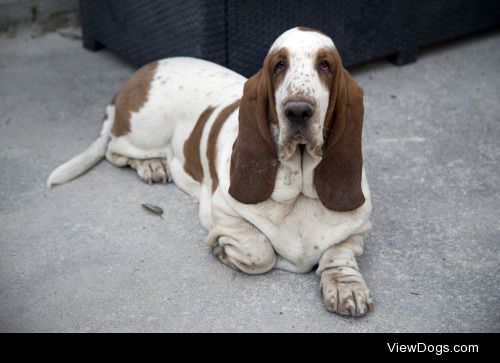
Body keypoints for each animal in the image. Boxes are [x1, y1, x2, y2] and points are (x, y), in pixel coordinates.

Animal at [48, 27, 374, 316]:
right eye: (279, 65)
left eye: (325, 65)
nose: (298, 110)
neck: (299, 186)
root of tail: (140, 73)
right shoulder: (222, 210)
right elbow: (259, 250)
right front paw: (224, 252)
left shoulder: (357, 231)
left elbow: (338, 256)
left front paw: (346, 287)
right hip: (143, 134)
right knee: (114, 151)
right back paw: (152, 165)